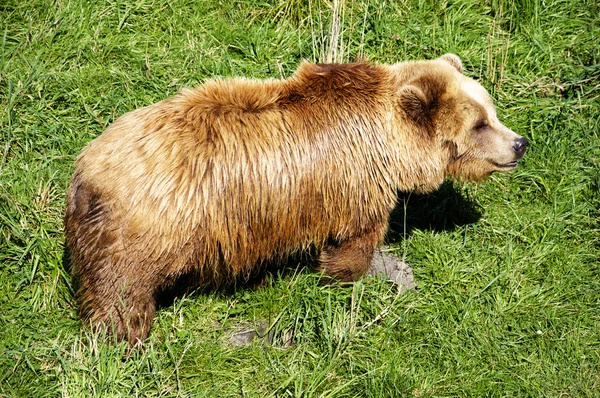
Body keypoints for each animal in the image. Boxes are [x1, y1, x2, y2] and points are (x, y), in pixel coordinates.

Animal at [63, 54, 528, 344]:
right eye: (479, 124)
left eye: (491, 109)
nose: (520, 143)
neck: (387, 143)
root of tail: (85, 171)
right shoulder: (355, 185)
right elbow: (354, 241)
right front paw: (345, 282)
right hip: (147, 229)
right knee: (121, 290)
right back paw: (125, 337)